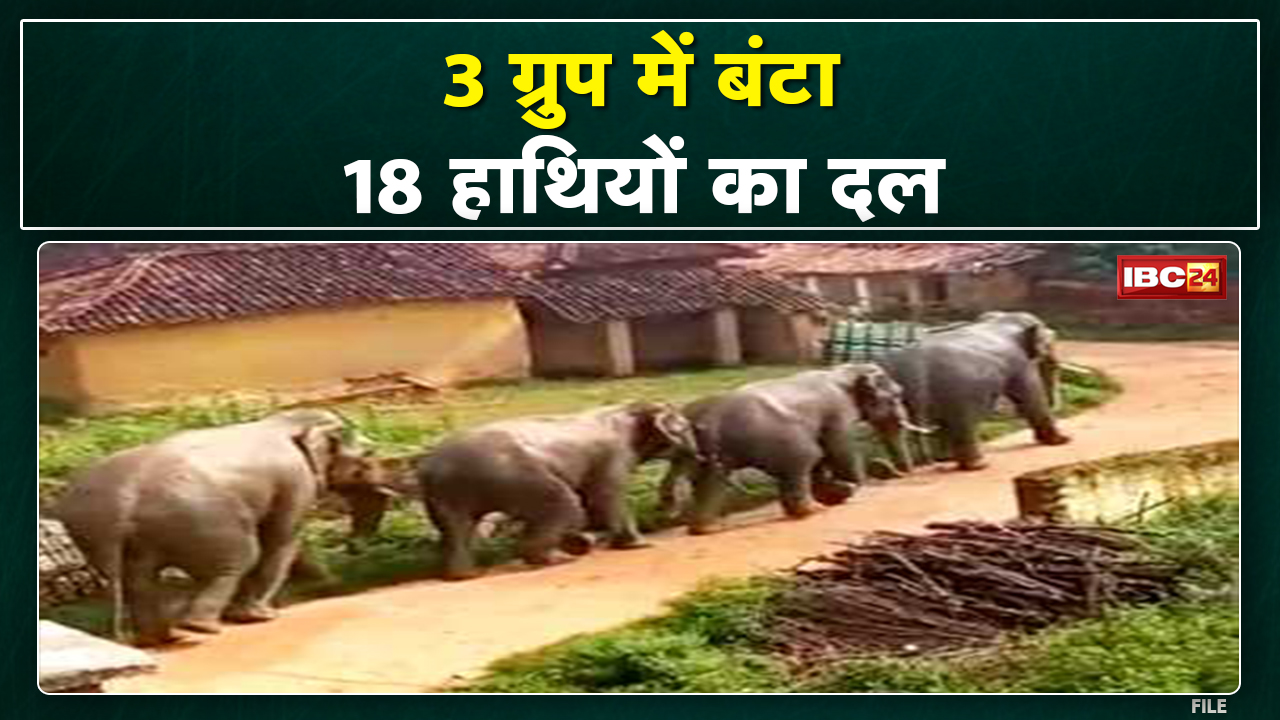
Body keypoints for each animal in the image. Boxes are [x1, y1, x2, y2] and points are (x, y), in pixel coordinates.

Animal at [51, 409, 394, 646]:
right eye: (368, 455)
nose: (354, 548)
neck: (287, 420)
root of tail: (120, 502)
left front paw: (326, 584)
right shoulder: (296, 479)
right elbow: (282, 537)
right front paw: (263, 616)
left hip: (114, 533)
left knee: (138, 579)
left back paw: (162, 638)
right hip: (200, 518)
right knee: (241, 556)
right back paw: (202, 628)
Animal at [417, 401, 699, 581]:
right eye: (685, 428)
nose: (667, 509)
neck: (627, 408)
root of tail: (434, 466)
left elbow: (590, 499)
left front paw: (586, 541)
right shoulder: (614, 454)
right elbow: (604, 495)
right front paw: (641, 546)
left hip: (445, 495)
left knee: (456, 529)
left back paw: (464, 576)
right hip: (514, 475)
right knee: (562, 502)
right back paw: (558, 559)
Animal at [657, 364, 928, 536]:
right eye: (897, 396)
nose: (883, 467)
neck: (842, 370)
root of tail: (695, 417)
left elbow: (826, 452)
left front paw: (839, 491)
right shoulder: (837, 410)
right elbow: (838, 446)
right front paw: (850, 488)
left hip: (707, 450)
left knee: (710, 481)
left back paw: (705, 530)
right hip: (771, 438)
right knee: (803, 458)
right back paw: (814, 510)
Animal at [878, 310, 1071, 472]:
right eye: (1048, 345)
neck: (1003, 320)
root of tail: (915, 368)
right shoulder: (1019, 361)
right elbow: (1030, 395)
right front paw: (1062, 441)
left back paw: (946, 459)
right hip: (957, 391)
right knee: (963, 421)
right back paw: (978, 465)